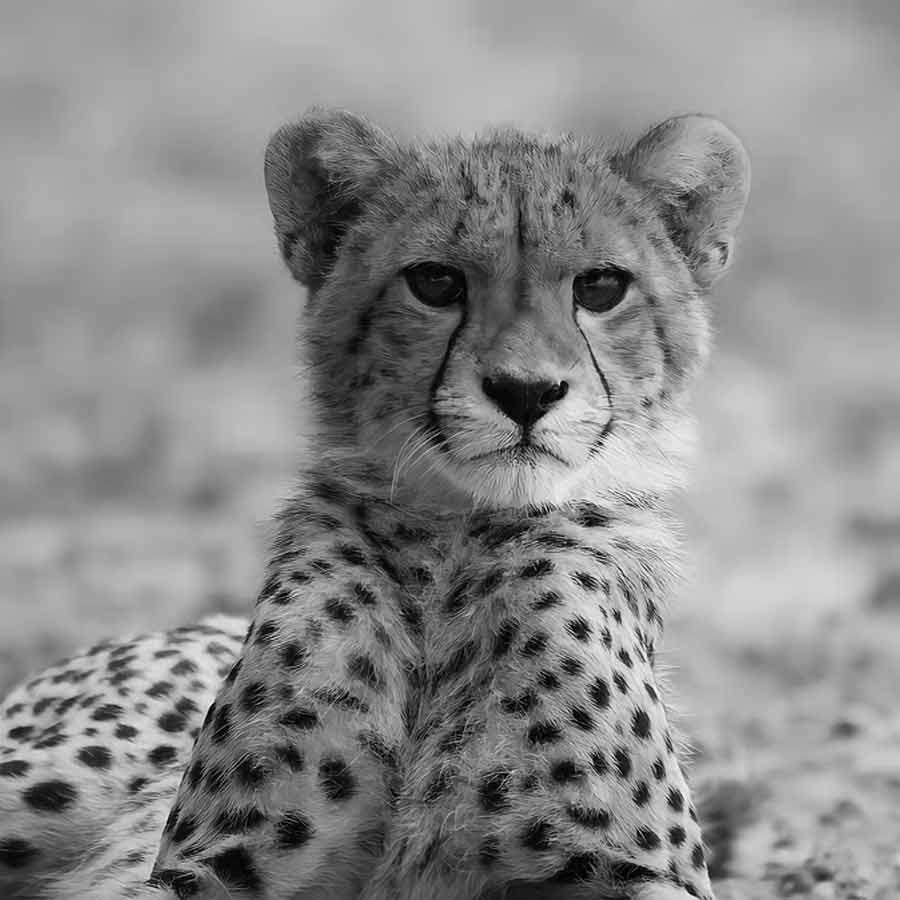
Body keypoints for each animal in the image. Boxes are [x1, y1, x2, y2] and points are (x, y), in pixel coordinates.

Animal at [0, 106, 750, 900]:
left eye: (601, 285)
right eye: (435, 281)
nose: (525, 392)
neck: (458, 544)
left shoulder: (632, 871)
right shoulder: (213, 866)